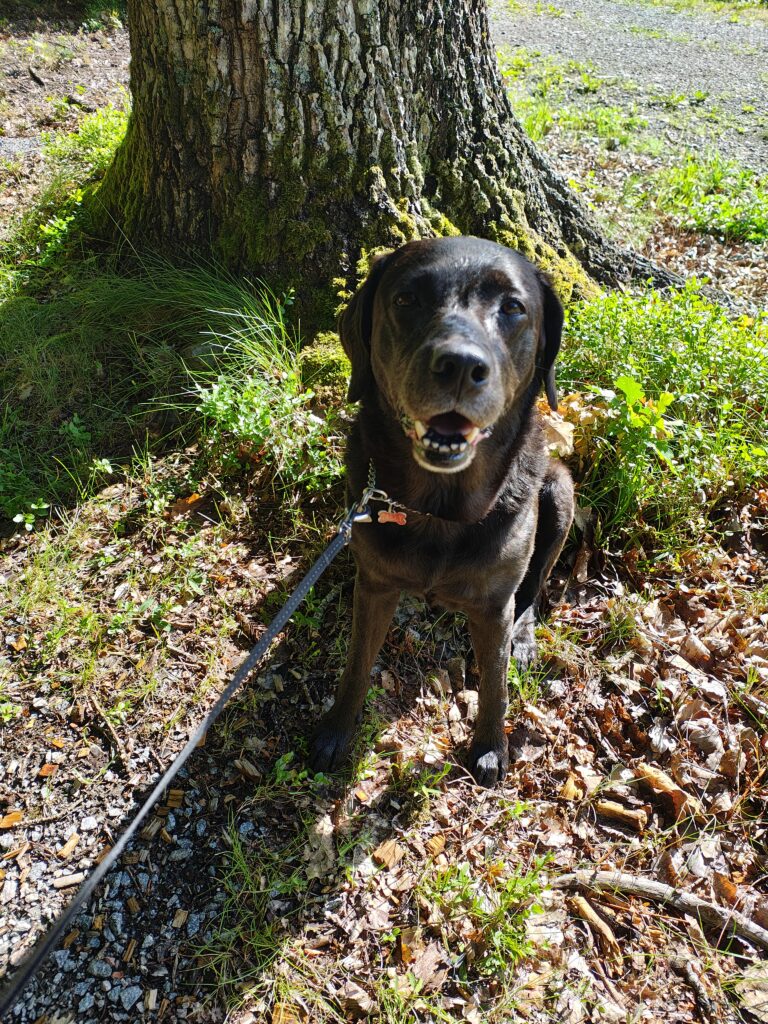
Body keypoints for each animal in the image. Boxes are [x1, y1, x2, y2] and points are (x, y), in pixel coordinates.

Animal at [311, 237, 573, 782]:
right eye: (406, 299)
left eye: (513, 307)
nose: (459, 366)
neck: (438, 512)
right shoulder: (375, 586)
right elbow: (356, 663)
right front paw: (336, 732)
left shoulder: (493, 606)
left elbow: (495, 684)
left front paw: (491, 747)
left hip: (559, 492)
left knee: (534, 587)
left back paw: (524, 638)